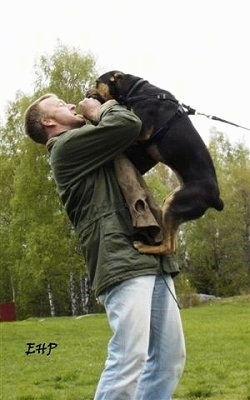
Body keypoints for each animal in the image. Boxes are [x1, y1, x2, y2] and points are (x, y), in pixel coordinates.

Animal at [86, 71, 225, 253]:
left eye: (97, 82)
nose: (86, 92)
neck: (137, 90)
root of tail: (215, 199)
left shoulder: (141, 128)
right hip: (171, 205)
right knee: (172, 244)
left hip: (173, 205)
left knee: (168, 247)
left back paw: (143, 247)